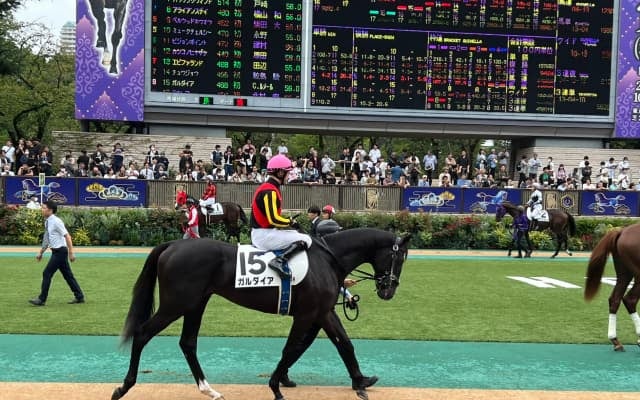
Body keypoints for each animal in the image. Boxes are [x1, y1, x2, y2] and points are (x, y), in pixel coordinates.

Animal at [111, 228, 411, 400]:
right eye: (399, 257)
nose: (388, 290)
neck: (327, 258)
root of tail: (171, 245)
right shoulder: (306, 315)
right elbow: (290, 349)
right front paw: (275, 387)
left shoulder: (323, 312)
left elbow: (345, 344)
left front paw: (361, 381)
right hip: (176, 305)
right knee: (142, 333)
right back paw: (124, 386)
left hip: (196, 304)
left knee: (188, 343)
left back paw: (209, 389)